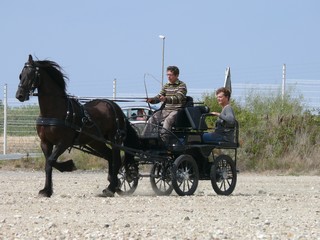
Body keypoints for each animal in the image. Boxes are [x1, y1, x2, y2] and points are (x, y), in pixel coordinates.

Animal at [15, 55, 139, 198]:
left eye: (31, 74)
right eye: (21, 75)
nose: (19, 95)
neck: (55, 111)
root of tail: (115, 106)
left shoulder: (63, 142)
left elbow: (51, 161)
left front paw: (67, 167)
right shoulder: (45, 142)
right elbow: (49, 163)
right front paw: (47, 189)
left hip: (115, 139)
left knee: (116, 160)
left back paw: (111, 188)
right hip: (95, 141)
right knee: (109, 156)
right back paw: (113, 183)